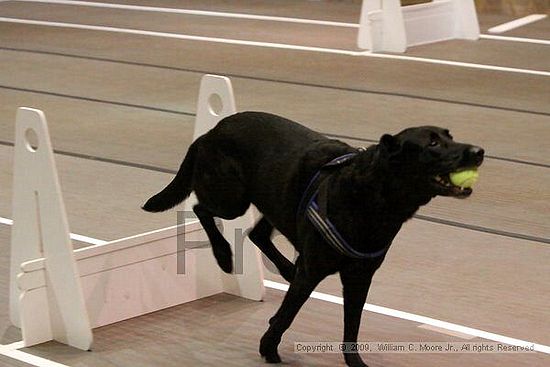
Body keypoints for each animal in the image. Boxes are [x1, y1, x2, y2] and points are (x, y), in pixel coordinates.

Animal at [143, 113, 488, 367]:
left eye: (450, 136)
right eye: (432, 142)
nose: (479, 152)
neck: (375, 197)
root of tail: (211, 131)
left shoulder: (359, 277)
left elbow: (351, 327)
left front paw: (355, 364)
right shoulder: (314, 271)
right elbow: (287, 314)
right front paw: (269, 348)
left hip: (276, 201)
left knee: (257, 233)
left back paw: (284, 268)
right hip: (232, 199)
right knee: (201, 208)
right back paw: (224, 256)